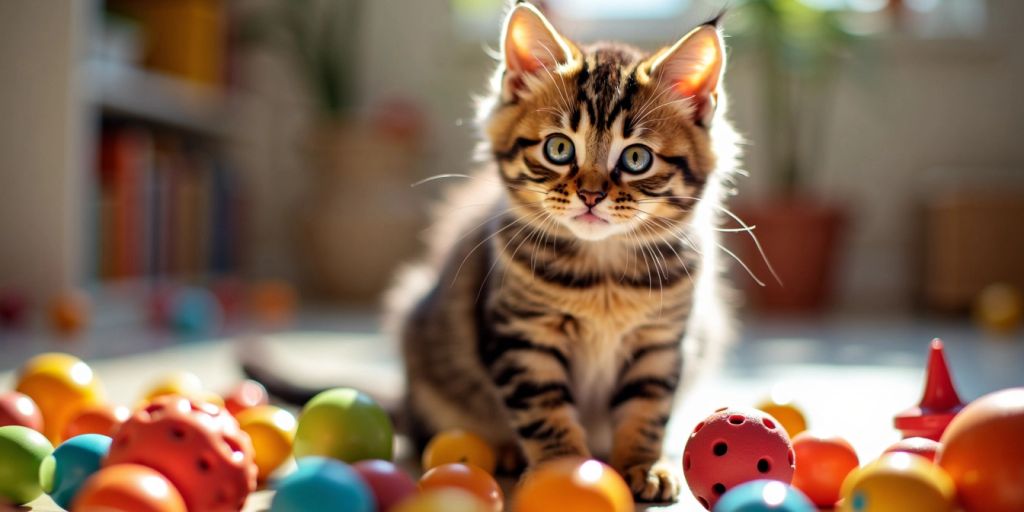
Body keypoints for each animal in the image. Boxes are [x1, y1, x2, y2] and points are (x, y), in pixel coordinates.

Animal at [387, 1, 741, 503]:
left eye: (636, 159)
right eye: (558, 149)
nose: (591, 195)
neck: (604, 276)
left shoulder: (659, 342)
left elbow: (647, 409)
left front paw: (643, 464)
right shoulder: (525, 340)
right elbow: (545, 414)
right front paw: (564, 472)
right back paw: (504, 451)